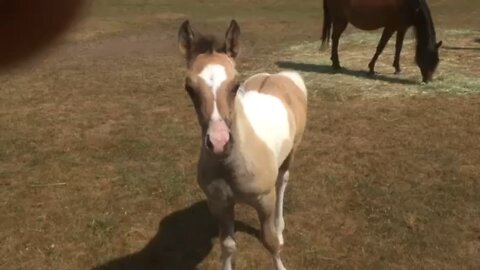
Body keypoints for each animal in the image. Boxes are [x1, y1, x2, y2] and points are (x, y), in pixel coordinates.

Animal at [177, 20, 308, 268]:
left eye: (235, 85)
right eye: (189, 88)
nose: (219, 143)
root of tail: (281, 76)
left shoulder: (265, 201)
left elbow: (270, 242)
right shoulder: (219, 204)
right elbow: (228, 246)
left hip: (291, 153)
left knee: (282, 181)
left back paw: (280, 227)